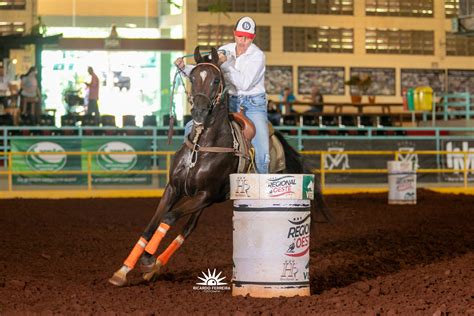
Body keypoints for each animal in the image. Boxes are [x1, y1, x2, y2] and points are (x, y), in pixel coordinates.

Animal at [108, 46, 330, 286]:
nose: (199, 112)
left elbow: (168, 217)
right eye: (192, 77)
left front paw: (148, 258)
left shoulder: (205, 194)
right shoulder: (175, 189)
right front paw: (123, 271)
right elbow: (152, 225)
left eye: (216, 80)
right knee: (188, 228)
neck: (203, 146)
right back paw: (156, 267)